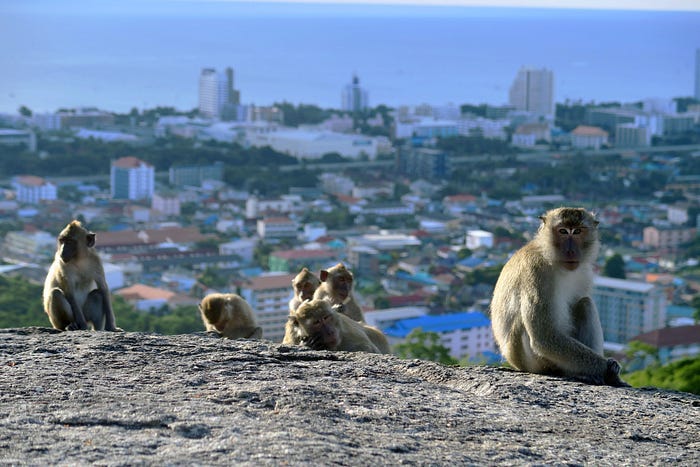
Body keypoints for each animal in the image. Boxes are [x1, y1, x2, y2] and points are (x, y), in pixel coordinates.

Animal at [489, 207, 628, 387]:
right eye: (563, 231)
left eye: (577, 231)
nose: (571, 251)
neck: (553, 260)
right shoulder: (536, 271)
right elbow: (544, 336)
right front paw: (608, 369)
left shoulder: (584, 273)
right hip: (534, 360)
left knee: (585, 303)